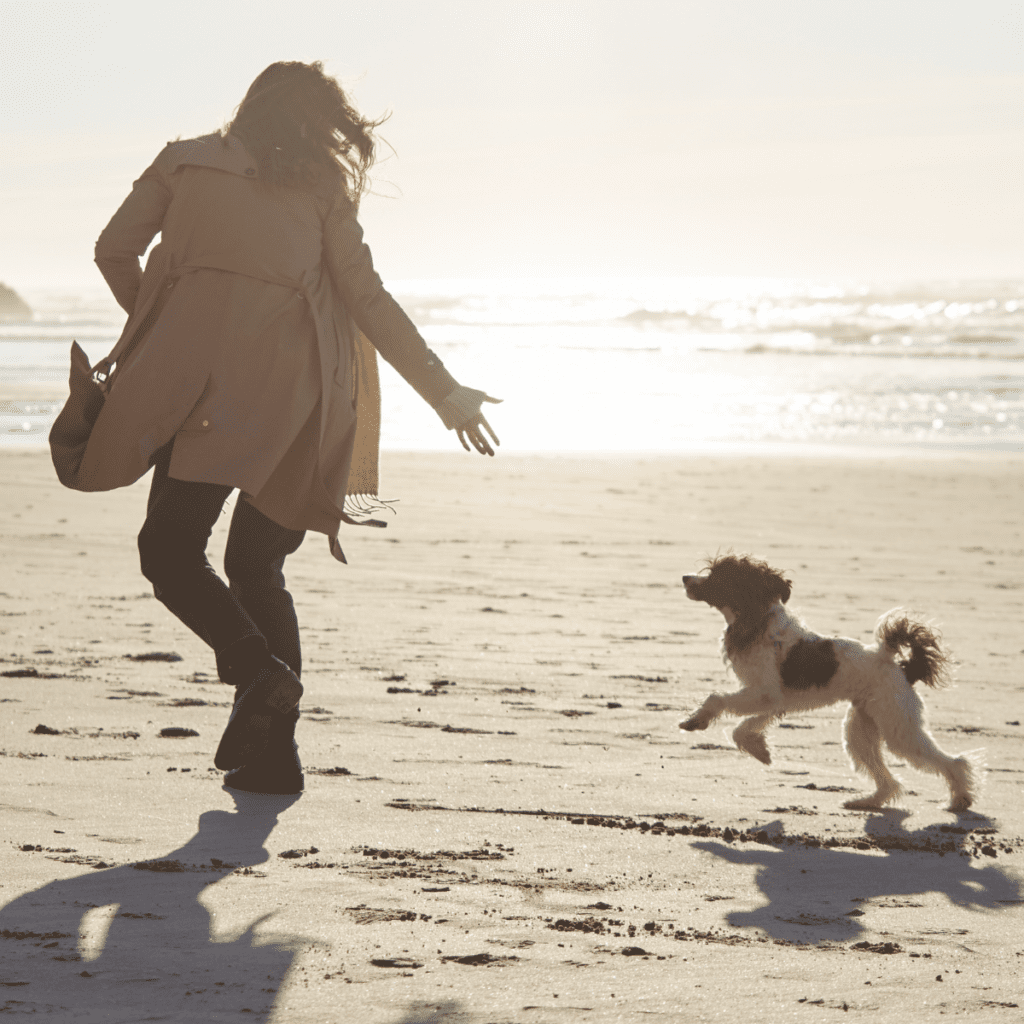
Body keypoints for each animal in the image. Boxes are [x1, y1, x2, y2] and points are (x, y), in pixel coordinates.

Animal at [675, 557, 978, 811]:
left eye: (716, 574)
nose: (685, 577)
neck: (756, 618)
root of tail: (892, 661)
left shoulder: (765, 693)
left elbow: (717, 699)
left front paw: (697, 720)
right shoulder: (774, 700)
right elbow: (743, 729)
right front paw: (760, 750)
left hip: (898, 727)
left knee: (953, 762)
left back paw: (960, 798)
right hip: (861, 730)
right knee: (889, 780)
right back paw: (868, 801)